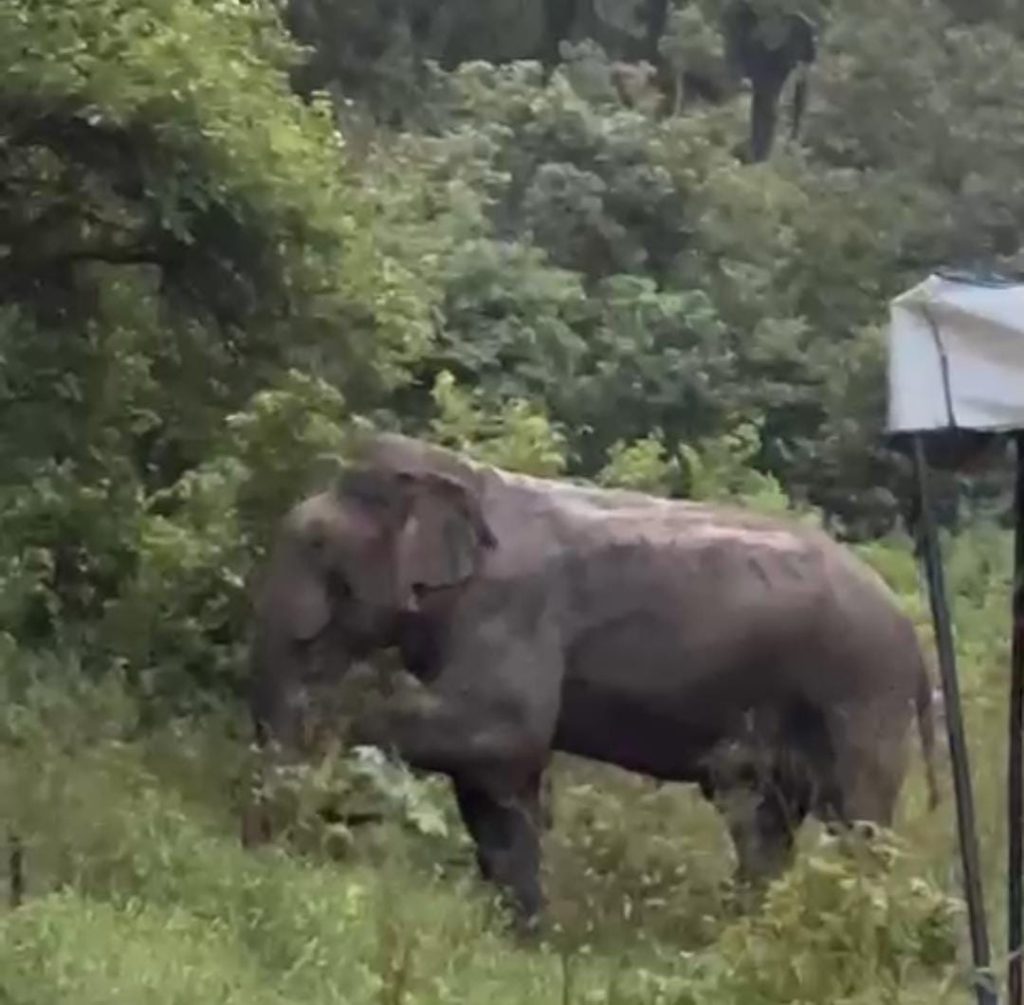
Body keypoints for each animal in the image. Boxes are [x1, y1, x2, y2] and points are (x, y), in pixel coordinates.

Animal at [246, 431, 940, 928]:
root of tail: (914, 639)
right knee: (764, 824)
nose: (279, 838)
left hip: (859, 689)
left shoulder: (513, 607)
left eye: (316, 546)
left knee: (858, 822)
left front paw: (329, 728)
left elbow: (503, 731)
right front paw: (524, 937)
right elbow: (498, 783)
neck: (465, 479)